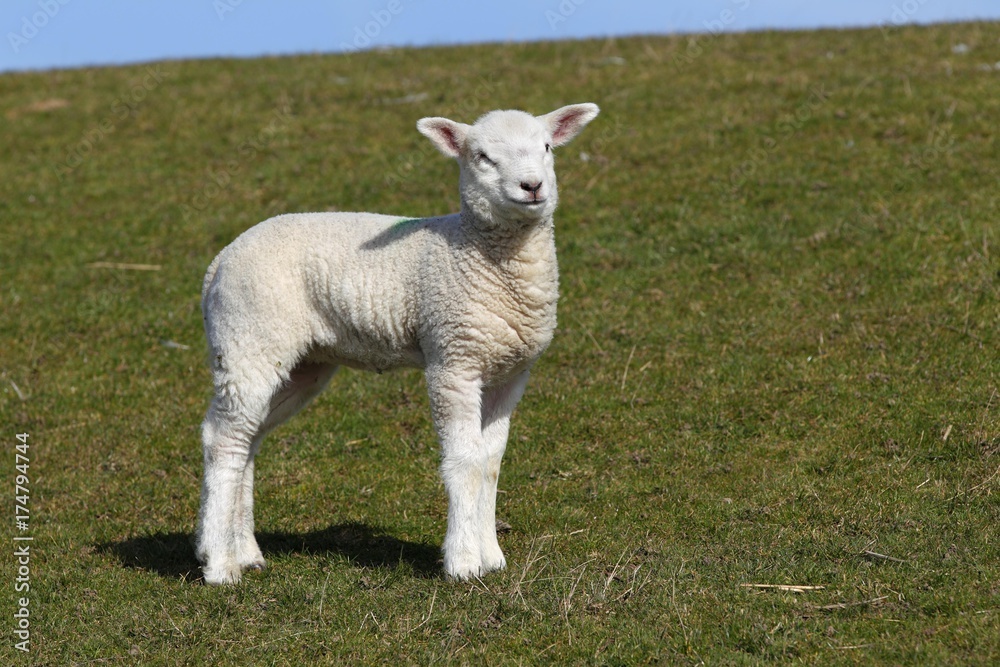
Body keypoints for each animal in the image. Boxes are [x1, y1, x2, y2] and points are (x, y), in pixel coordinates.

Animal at [195, 102, 600, 584]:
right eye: (482, 156)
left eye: (548, 147)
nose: (532, 186)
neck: (478, 252)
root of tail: (219, 261)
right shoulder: (452, 360)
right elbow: (463, 460)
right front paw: (463, 562)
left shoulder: (510, 373)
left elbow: (489, 462)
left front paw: (492, 557)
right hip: (249, 337)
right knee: (223, 440)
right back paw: (219, 565)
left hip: (295, 361)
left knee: (246, 439)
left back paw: (245, 552)